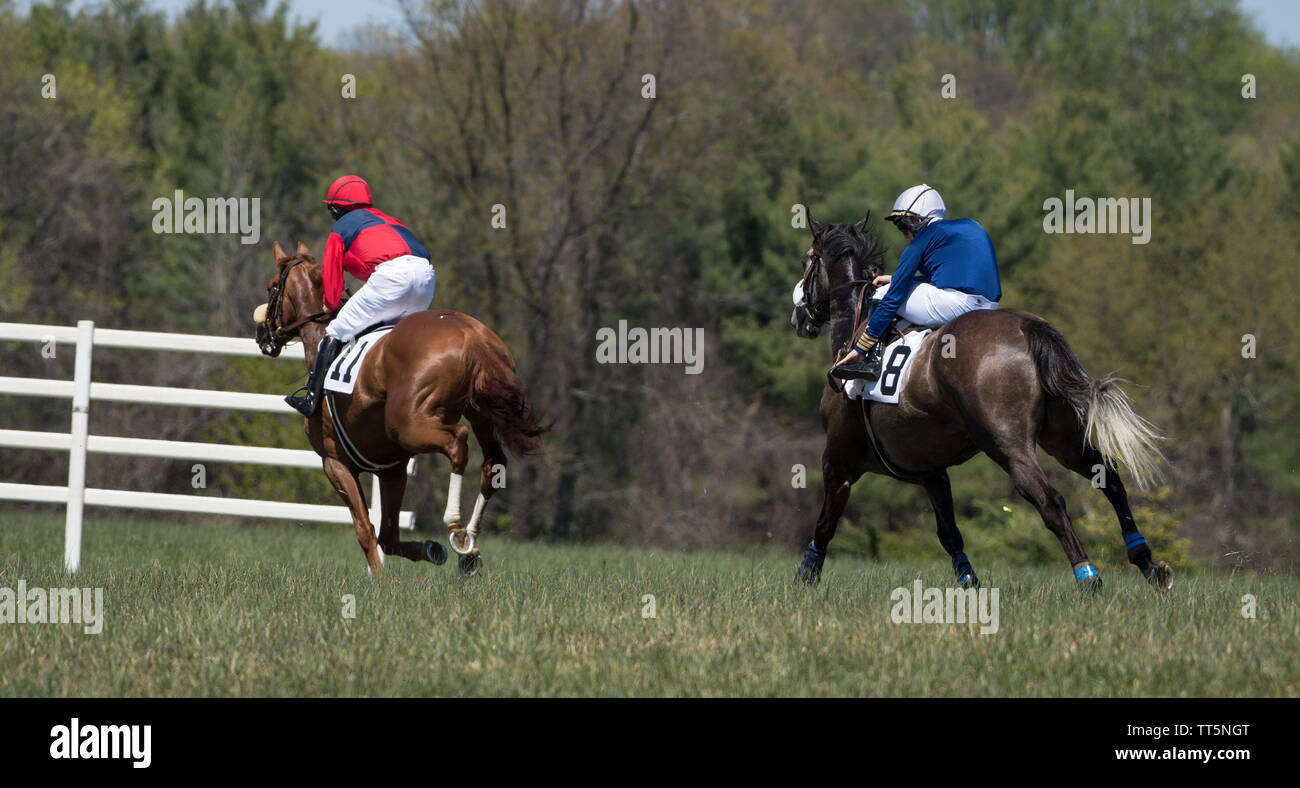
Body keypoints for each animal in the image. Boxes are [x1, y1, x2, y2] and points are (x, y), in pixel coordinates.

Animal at [250, 244, 546, 577]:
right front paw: (431, 550)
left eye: (271, 286)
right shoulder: (392, 469)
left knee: (457, 441)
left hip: (409, 425)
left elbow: (365, 530)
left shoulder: (335, 463)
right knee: (493, 463)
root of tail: (472, 335)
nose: (262, 335)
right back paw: (469, 546)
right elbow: (388, 537)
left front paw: (378, 579)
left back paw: (456, 528)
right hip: (482, 412)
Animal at [785, 215, 1175, 592]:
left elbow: (825, 525)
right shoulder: (932, 471)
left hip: (1006, 443)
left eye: (806, 260)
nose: (798, 317)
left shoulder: (838, 460)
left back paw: (1089, 578)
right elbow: (949, 534)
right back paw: (1147, 564)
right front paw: (970, 584)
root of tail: (1027, 327)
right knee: (1108, 477)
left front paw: (804, 579)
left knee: (1050, 500)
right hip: (1061, 436)